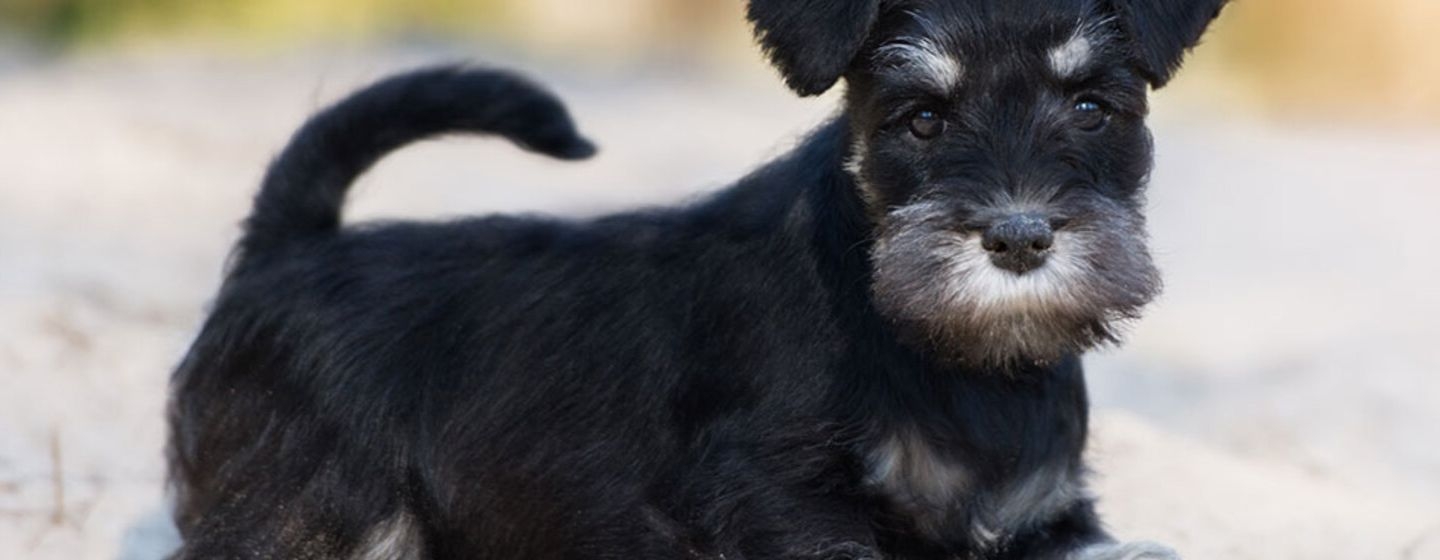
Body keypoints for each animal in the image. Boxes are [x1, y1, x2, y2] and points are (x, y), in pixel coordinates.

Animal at [165, 1, 1226, 558]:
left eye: (1091, 108)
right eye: (922, 118)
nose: (1017, 236)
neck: (956, 365)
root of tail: (289, 246)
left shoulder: (1042, 517)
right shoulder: (780, 499)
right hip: (312, 516)